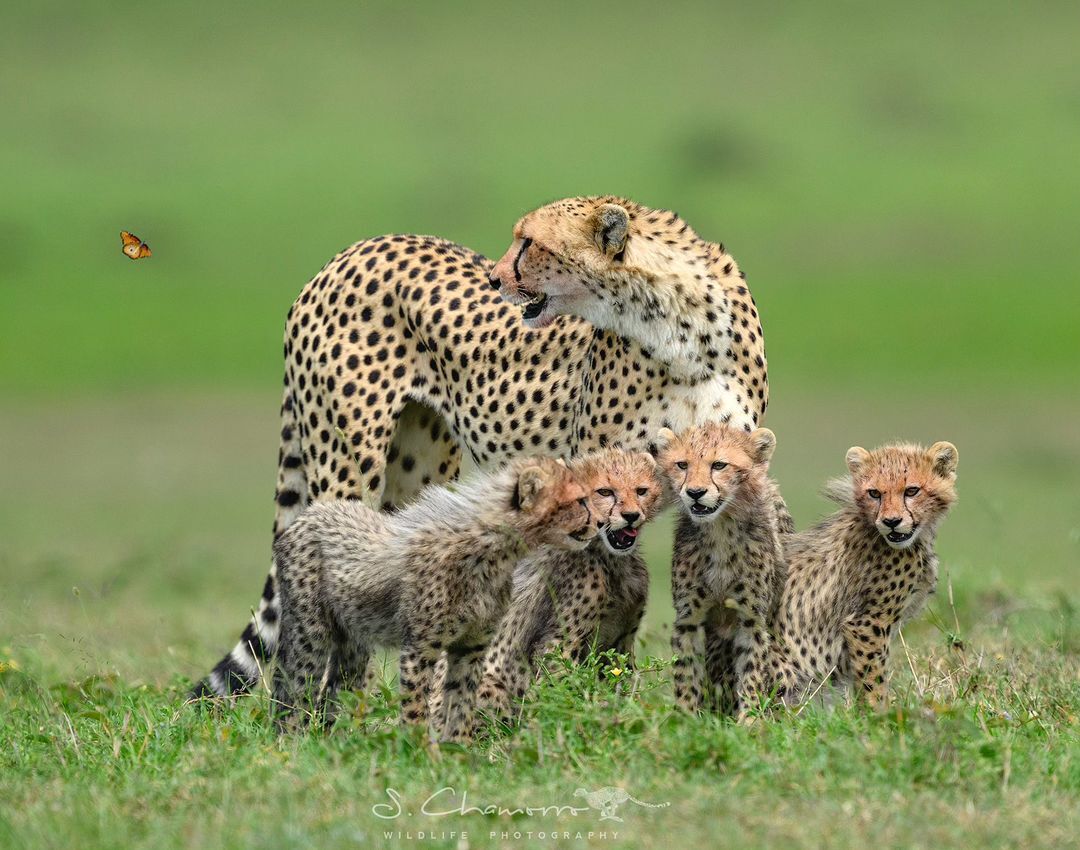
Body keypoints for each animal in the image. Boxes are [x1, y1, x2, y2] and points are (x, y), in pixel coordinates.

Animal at [192, 197, 768, 699]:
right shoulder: (596, 484)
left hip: (420, 470)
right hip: (346, 465)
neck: (682, 328)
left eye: (530, 242)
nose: (495, 278)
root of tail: (350, 251)